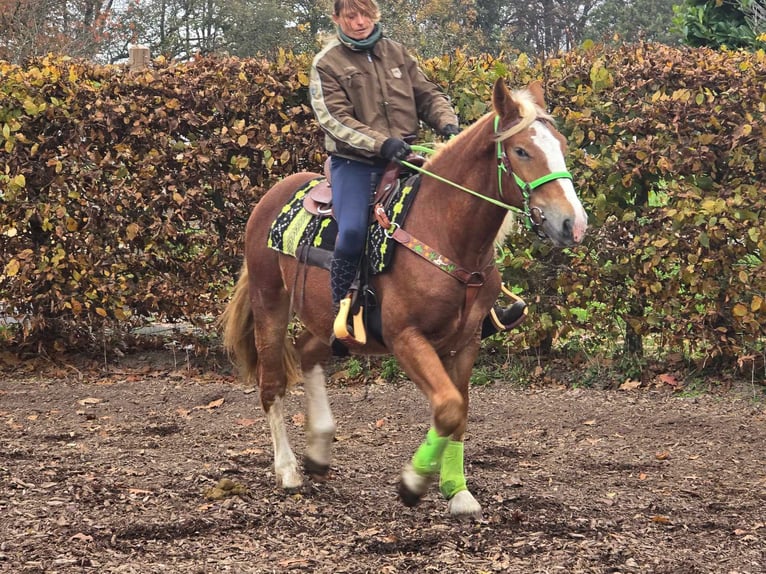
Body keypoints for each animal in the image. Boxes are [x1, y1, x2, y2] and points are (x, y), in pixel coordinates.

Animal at [219, 79, 592, 520]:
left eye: (561, 145)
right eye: (521, 151)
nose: (573, 224)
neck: (442, 230)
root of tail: (271, 198)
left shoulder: (466, 342)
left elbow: (459, 411)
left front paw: (457, 490)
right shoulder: (406, 338)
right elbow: (448, 407)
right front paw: (413, 482)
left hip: (327, 321)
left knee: (307, 352)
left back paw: (319, 450)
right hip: (270, 304)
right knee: (272, 383)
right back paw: (289, 469)